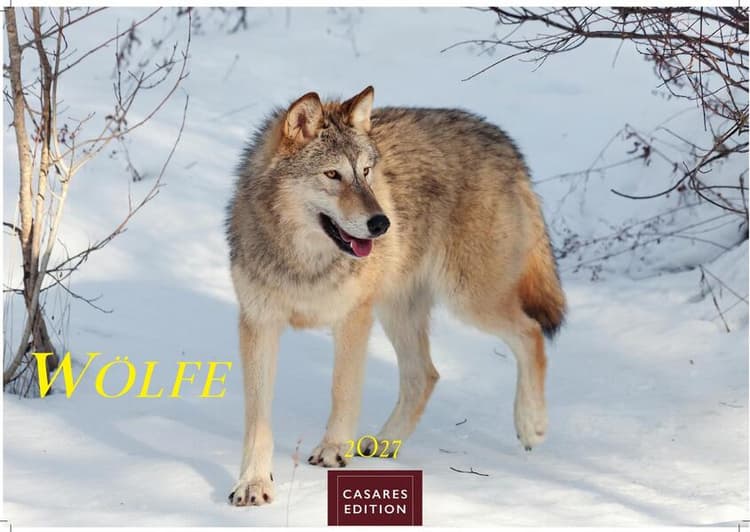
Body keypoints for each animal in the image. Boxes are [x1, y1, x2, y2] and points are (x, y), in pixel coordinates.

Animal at [225, 86, 565, 506]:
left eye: (366, 173)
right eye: (332, 174)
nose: (382, 223)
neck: (305, 262)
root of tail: (503, 141)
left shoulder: (354, 317)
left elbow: (342, 390)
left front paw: (333, 451)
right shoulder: (258, 324)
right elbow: (258, 419)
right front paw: (253, 484)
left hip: (468, 299)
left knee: (531, 333)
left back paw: (531, 425)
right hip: (399, 311)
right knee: (426, 374)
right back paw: (382, 446)